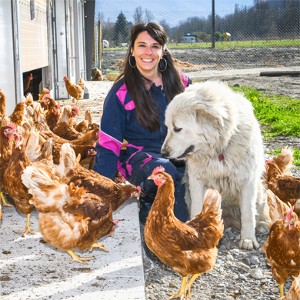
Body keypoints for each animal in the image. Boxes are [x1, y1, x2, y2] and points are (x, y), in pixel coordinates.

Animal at [163, 81, 268, 250]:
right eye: (167, 127)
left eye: (177, 128)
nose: (163, 152)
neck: (219, 149)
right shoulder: (196, 181)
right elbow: (197, 209)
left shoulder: (248, 181)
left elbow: (248, 214)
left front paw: (248, 239)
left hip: (260, 192)